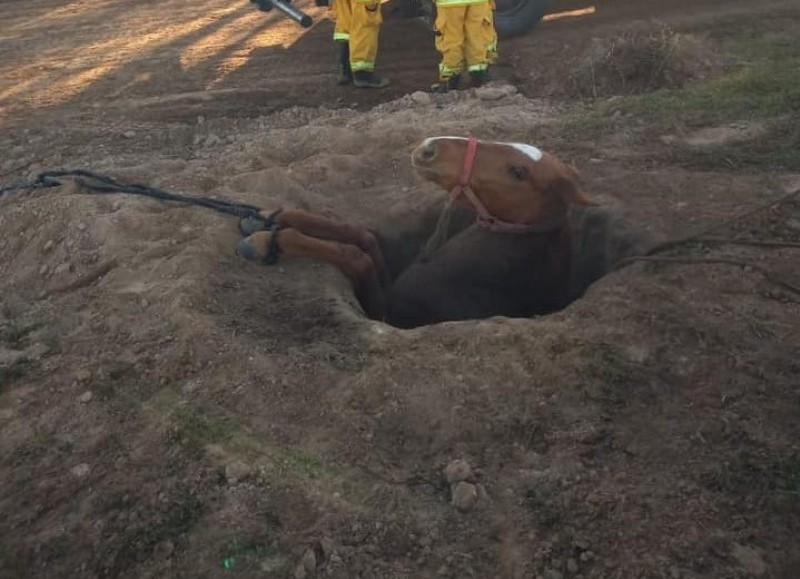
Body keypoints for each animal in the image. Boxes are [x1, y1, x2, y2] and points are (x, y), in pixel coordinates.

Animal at [238, 135, 600, 326]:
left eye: (518, 172)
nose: (429, 148)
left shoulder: (388, 314)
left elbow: (357, 257)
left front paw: (267, 239)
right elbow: (363, 237)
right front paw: (273, 214)